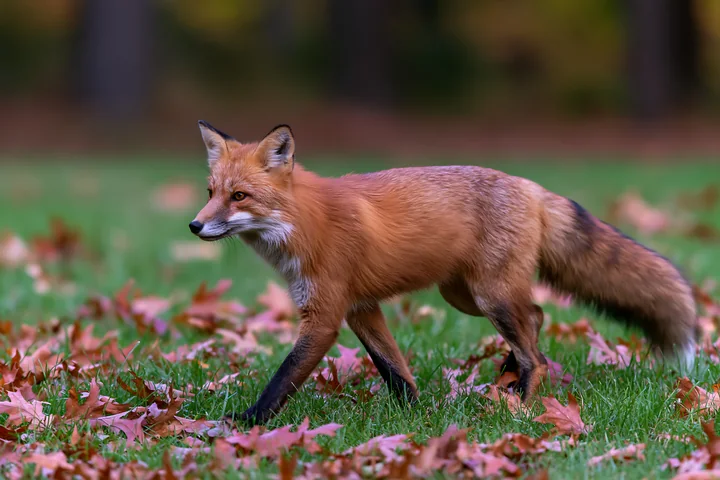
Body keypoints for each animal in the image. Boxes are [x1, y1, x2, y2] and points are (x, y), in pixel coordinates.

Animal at [189, 121, 698, 425]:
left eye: (239, 197)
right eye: (211, 192)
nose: (194, 225)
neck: (305, 222)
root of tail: (529, 186)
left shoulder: (326, 316)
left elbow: (284, 376)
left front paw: (248, 421)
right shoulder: (360, 309)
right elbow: (394, 368)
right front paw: (414, 415)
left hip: (490, 296)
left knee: (534, 345)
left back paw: (518, 400)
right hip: (466, 295)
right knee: (536, 316)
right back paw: (505, 378)